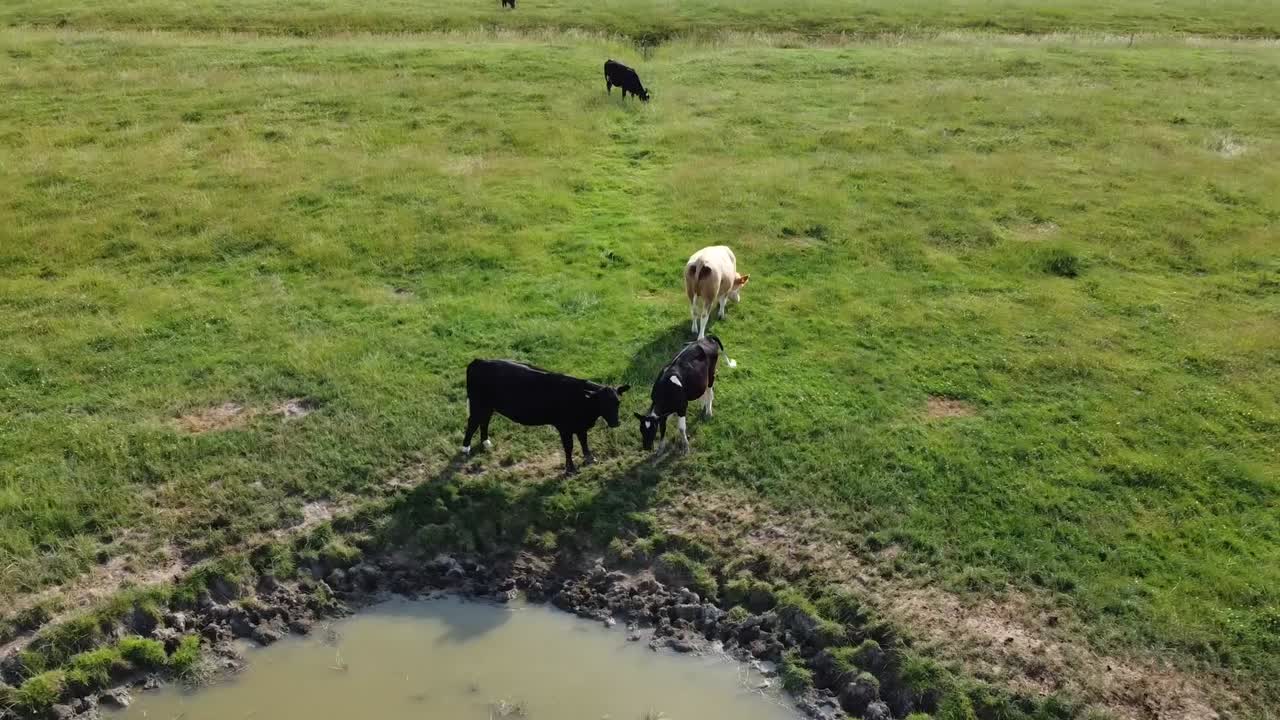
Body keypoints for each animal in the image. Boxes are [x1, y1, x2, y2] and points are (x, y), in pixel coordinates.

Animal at [463, 359, 630, 475]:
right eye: (602, 403)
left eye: (618, 402)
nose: (616, 423)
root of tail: (480, 361)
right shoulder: (565, 428)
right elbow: (569, 447)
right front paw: (570, 469)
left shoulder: (581, 426)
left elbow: (584, 442)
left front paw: (590, 458)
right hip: (478, 404)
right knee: (472, 423)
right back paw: (465, 449)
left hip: (488, 407)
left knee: (484, 421)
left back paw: (486, 443)